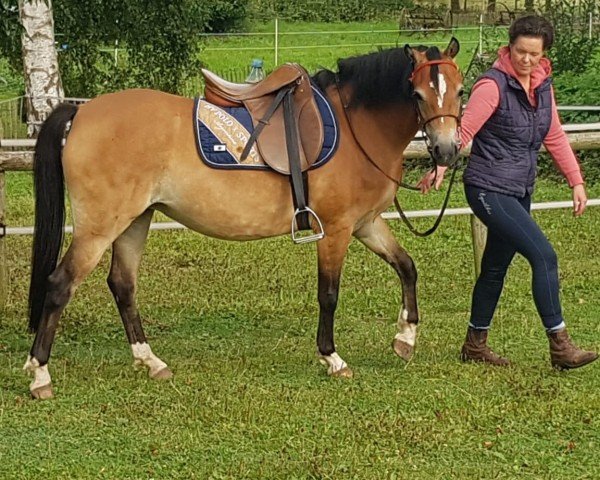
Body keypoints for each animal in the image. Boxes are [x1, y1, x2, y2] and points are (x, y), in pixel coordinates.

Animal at [24, 38, 464, 398]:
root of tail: (80, 114)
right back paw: (40, 374)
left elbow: (407, 267)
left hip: (135, 220)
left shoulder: (366, 224)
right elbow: (329, 294)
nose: (445, 151)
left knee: (122, 285)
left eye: (460, 92)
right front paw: (332, 358)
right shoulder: (336, 230)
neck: (356, 127)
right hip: (100, 228)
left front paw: (406, 337)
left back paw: (151, 362)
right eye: (417, 94)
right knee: (60, 285)